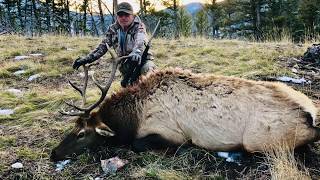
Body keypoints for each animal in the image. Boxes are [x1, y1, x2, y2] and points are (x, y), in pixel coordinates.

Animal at [50, 50, 320, 162]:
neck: (132, 118)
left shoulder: (170, 132)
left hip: (259, 140)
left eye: (82, 133)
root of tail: (310, 114)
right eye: (71, 128)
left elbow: (138, 144)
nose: (53, 153)